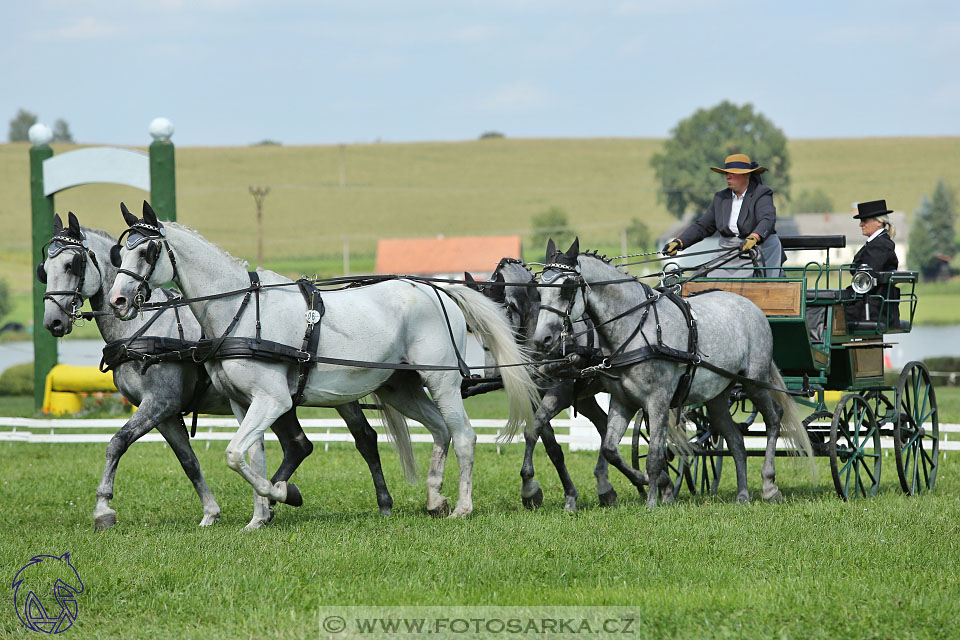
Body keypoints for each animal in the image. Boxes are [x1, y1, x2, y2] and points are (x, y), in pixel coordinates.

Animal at [40, 212, 398, 528]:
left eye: (72, 264)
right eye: (45, 269)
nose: (53, 322)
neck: (144, 329)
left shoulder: (160, 403)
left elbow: (117, 442)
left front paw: (103, 509)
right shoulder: (166, 414)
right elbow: (188, 461)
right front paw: (211, 513)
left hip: (338, 394)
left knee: (363, 439)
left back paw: (380, 502)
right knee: (299, 445)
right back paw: (273, 501)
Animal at [110, 202, 540, 516]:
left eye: (148, 250)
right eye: (119, 253)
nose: (118, 301)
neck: (241, 309)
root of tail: (435, 289)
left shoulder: (273, 401)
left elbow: (235, 455)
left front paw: (284, 494)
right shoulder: (241, 404)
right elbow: (252, 457)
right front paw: (258, 518)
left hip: (443, 381)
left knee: (464, 435)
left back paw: (463, 508)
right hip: (400, 387)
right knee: (440, 430)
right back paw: (436, 499)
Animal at [532, 239, 808, 504]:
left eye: (567, 287)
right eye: (539, 290)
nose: (542, 340)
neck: (636, 326)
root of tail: (751, 306)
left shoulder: (658, 400)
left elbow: (655, 455)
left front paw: (653, 500)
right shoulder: (622, 401)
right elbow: (610, 450)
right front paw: (651, 482)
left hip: (754, 381)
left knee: (774, 418)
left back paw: (769, 486)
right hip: (718, 395)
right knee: (736, 440)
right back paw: (743, 495)